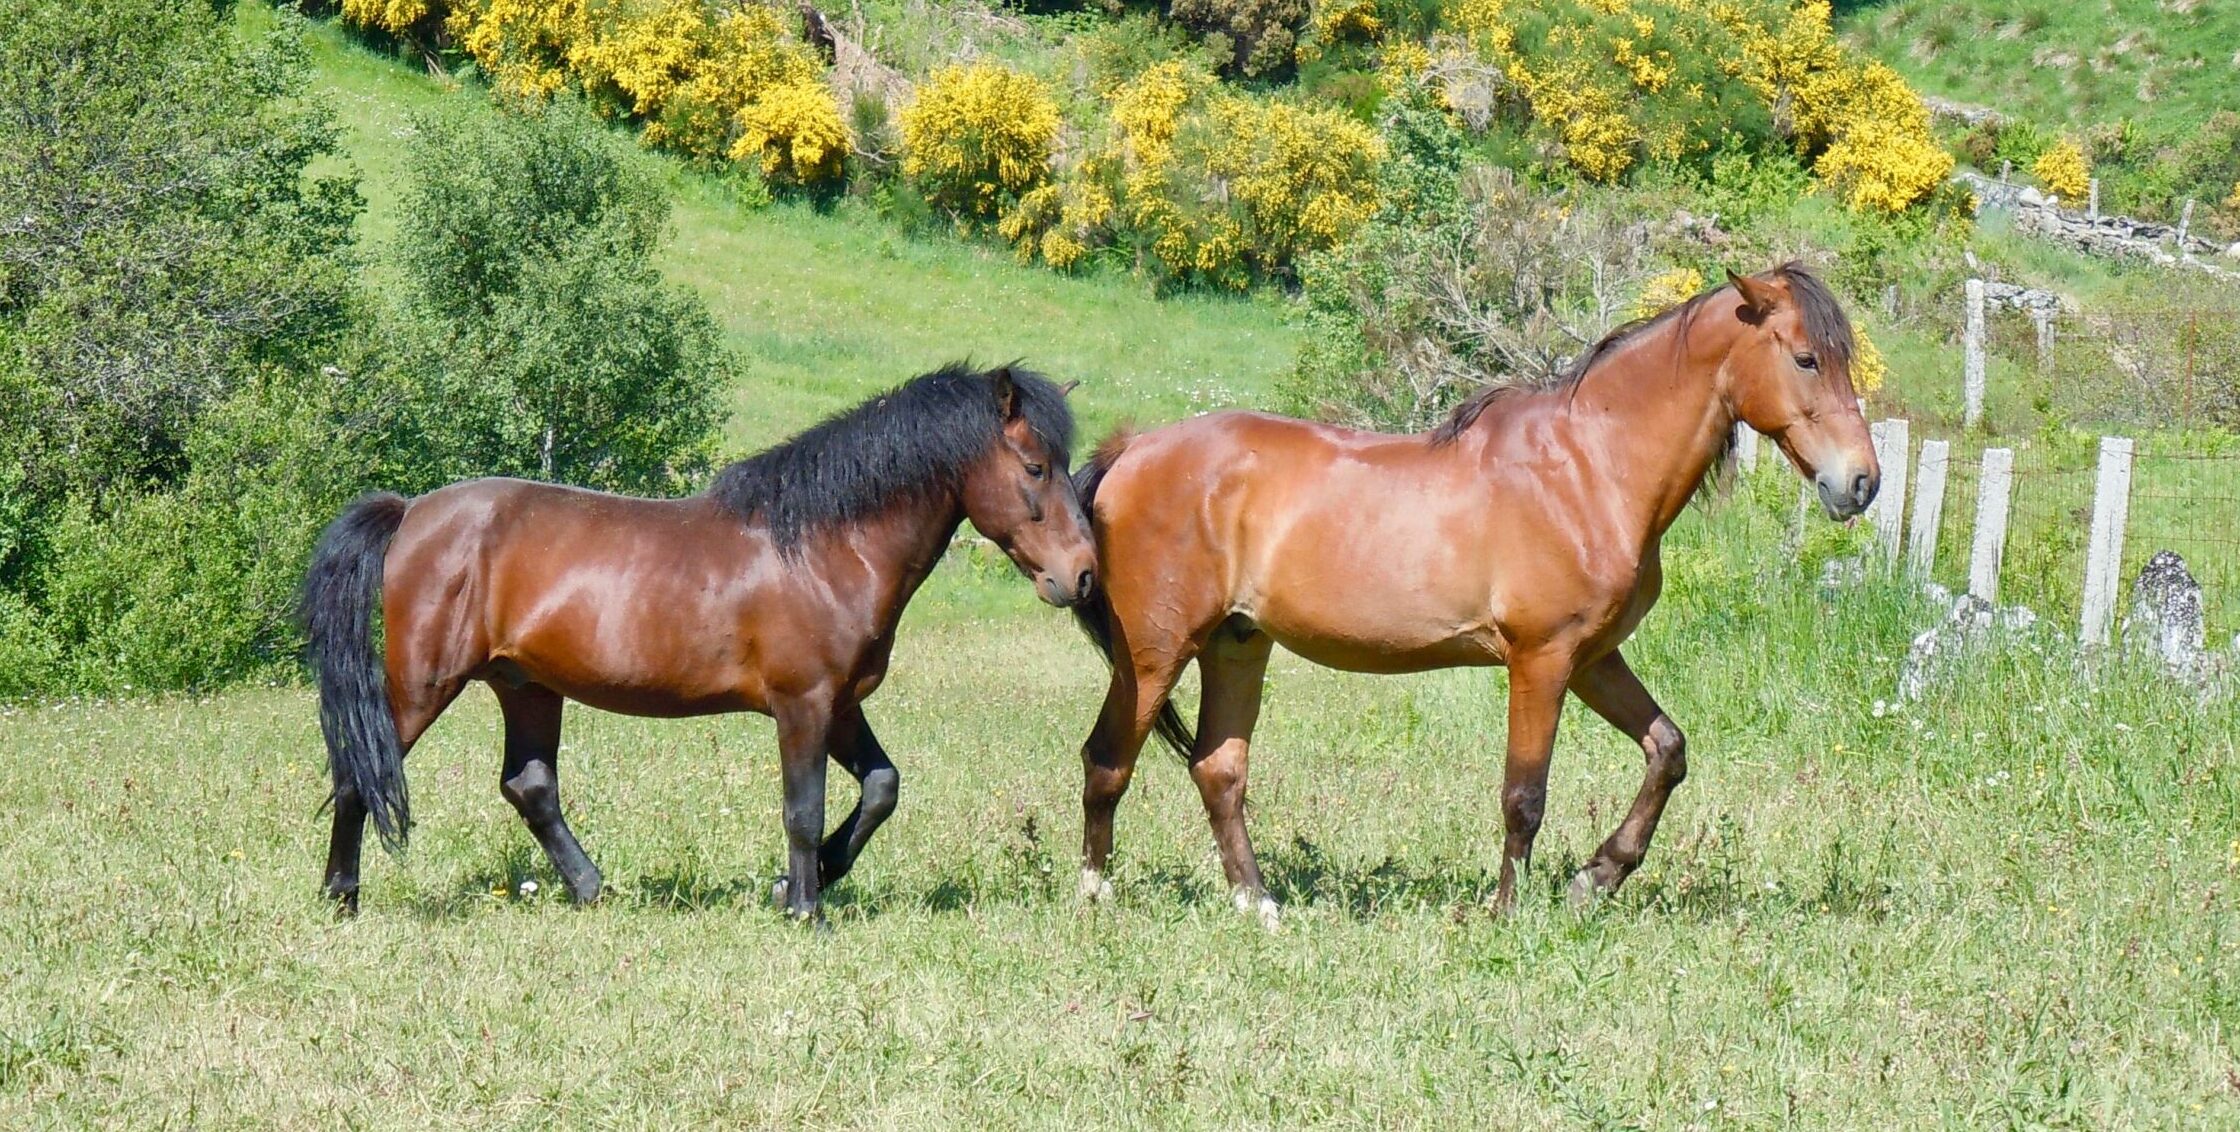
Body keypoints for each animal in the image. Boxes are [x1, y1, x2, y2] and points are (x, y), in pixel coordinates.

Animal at [302, 360, 1097, 919]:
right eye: (1035, 467)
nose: (1083, 574)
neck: (825, 546)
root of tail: (411, 512)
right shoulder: (803, 705)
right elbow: (803, 811)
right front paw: (806, 907)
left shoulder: (841, 704)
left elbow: (880, 789)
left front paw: (803, 881)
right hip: (423, 684)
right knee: (358, 774)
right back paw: (342, 897)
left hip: (526, 687)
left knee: (529, 787)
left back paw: (593, 889)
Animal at [1075, 262, 1881, 919]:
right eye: (1807, 358)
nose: (1861, 483)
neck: (1589, 467)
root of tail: (1130, 452)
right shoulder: (1541, 659)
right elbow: (1524, 796)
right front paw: (1507, 911)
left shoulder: (1593, 659)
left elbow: (1667, 751)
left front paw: (1596, 878)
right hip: (1155, 653)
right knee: (1107, 761)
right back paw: (1095, 897)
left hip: (1237, 645)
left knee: (1218, 771)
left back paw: (1259, 903)